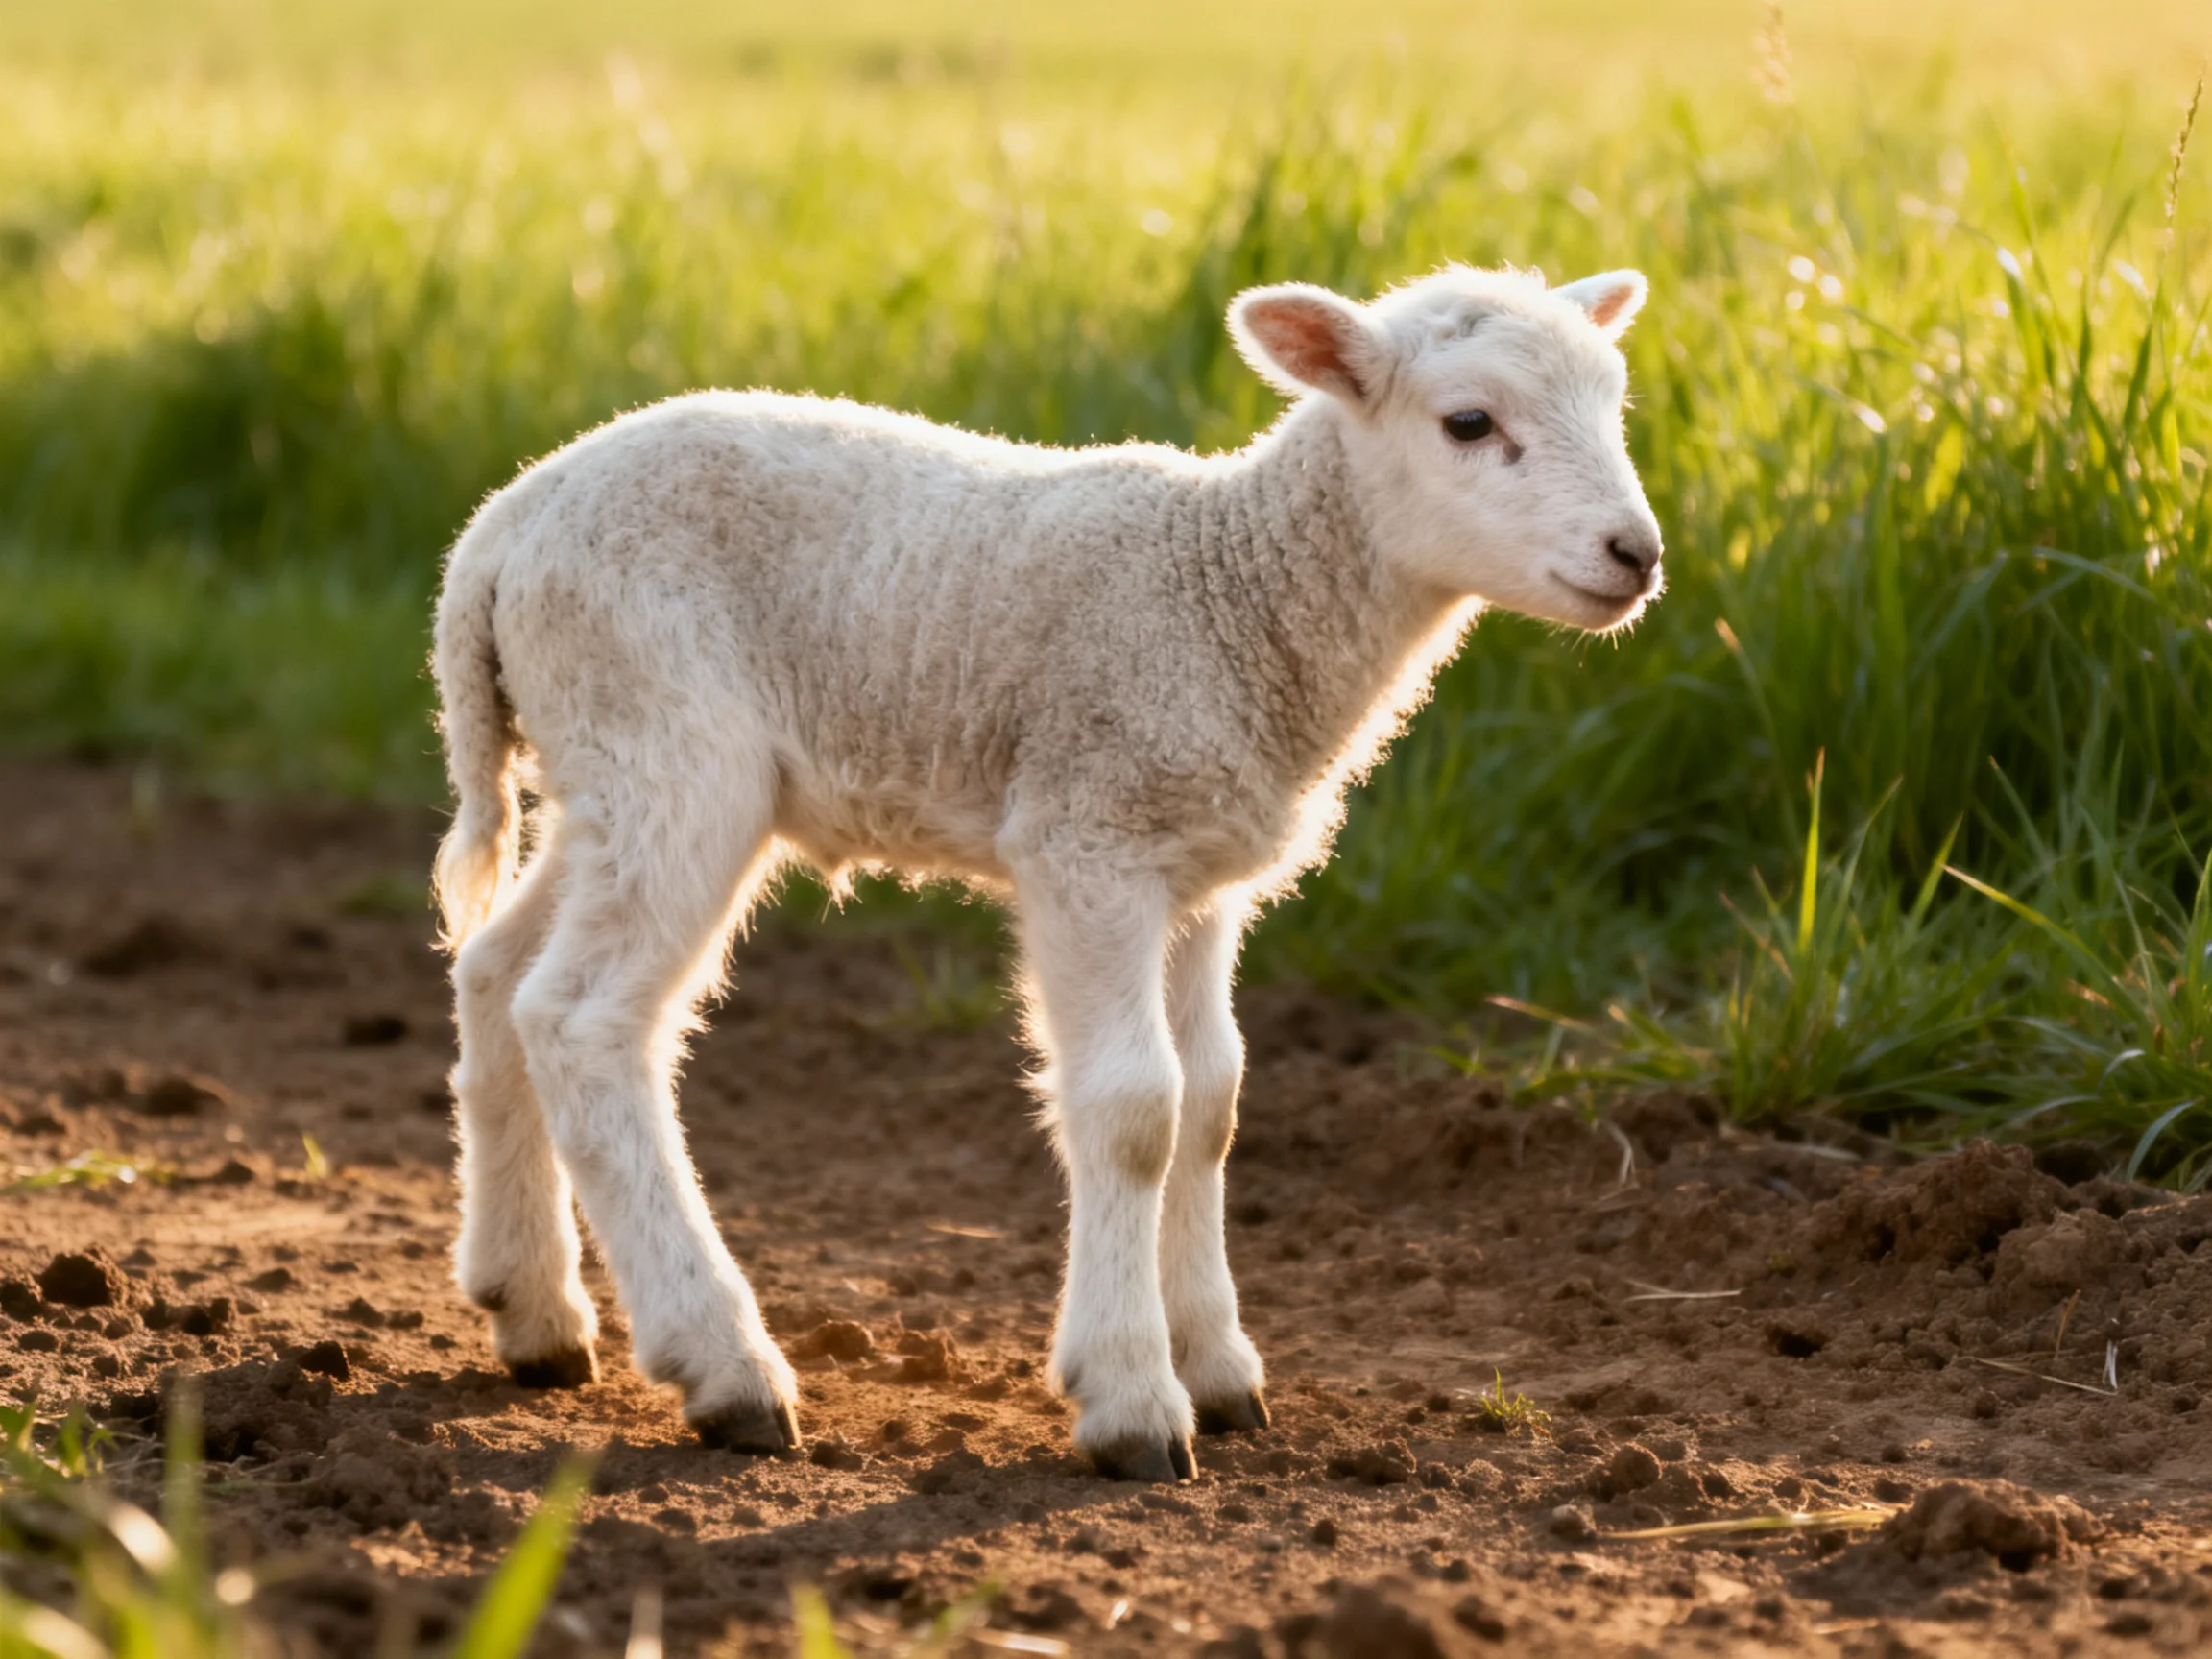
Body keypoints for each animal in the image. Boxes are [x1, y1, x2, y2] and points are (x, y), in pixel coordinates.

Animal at [431, 262, 1663, 1482]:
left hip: (601, 776)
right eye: (1469, 423)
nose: (1638, 554)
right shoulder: (1089, 838)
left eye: (1616, 403)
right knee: (583, 1023)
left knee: (495, 970)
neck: (1233, 592)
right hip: (673, 747)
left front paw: (1219, 1369)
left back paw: (531, 1310)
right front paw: (1133, 1400)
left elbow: (1212, 1099)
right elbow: (1135, 1109)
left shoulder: (1199, 874)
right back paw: (726, 1366)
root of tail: (499, 530)